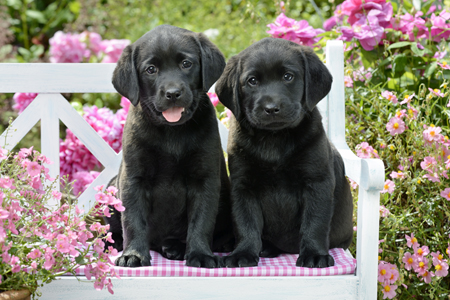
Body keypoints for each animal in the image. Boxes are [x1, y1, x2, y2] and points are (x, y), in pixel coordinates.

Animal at [104, 24, 232, 268]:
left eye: (186, 64)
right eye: (151, 69)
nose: (173, 93)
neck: (172, 132)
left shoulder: (205, 179)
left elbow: (201, 221)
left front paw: (200, 254)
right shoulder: (133, 179)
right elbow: (133, 220)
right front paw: (133, 254)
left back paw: (176, 247)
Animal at [215, 37, 356, 270]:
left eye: (288, 76)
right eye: (252, 81)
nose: (272, 108)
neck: (274, 139)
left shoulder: (317, 182)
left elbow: (315, 222)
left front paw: (314, 254)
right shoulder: (243, 186)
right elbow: (245, 222)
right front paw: (243, 252)